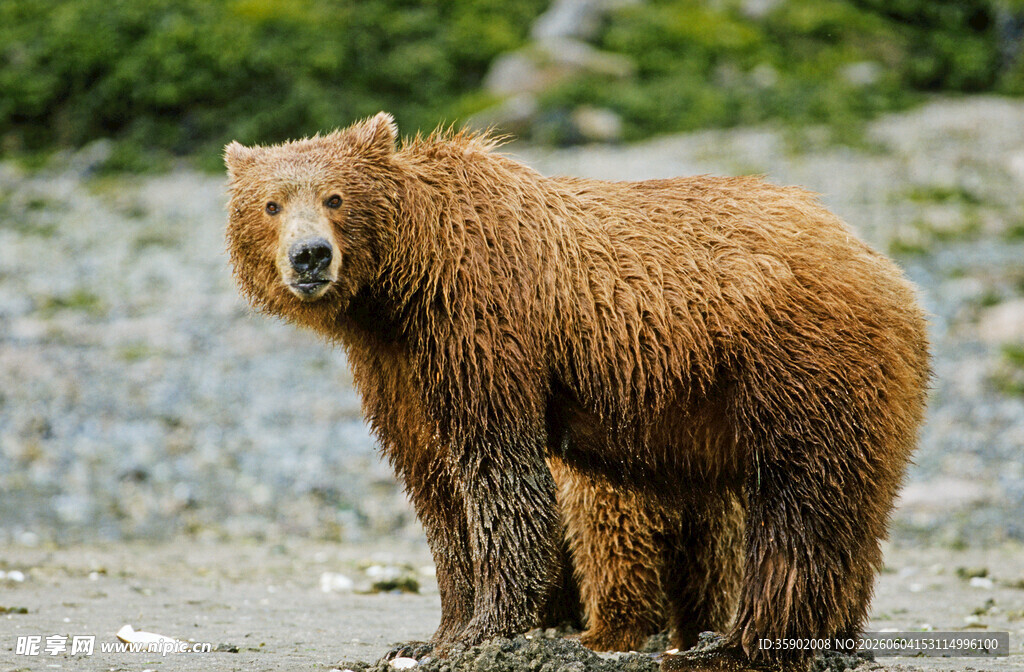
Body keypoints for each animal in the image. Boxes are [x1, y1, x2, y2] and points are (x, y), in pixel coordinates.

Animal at [224, 112, 930, 669]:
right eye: (271, 204)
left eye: (336, 197)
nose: (310, 256)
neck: (403, 284)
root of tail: (884, 268)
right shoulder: (397, 368)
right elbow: (436, 489)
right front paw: (431, 637)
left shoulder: (481, 325)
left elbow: (499, 475)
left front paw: (485, 632)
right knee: (846, 512)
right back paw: (828, 638)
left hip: (797, 367)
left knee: (797, 508)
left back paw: (734, 647)